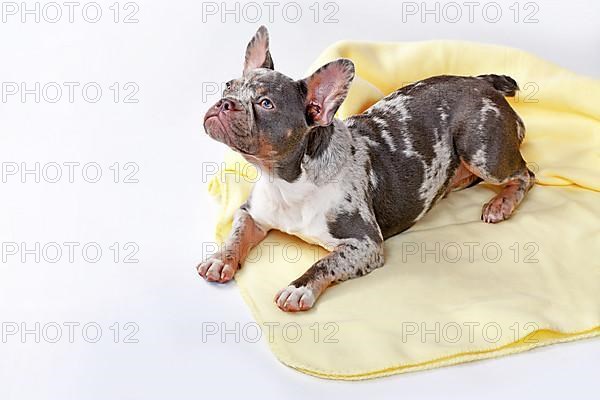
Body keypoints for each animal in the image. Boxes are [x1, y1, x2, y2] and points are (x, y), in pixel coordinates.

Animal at [199, 26, 536, 312]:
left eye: (266, 104)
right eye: (228, 86)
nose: (225, 102)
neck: (286, 181)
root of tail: (481, 82)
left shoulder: (364, 244)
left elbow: (324, 264)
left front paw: (298, 288)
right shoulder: (251, 213)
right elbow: (236, 234)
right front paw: (220, 259)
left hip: (481, 152)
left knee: (525, 174)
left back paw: (501, 203)